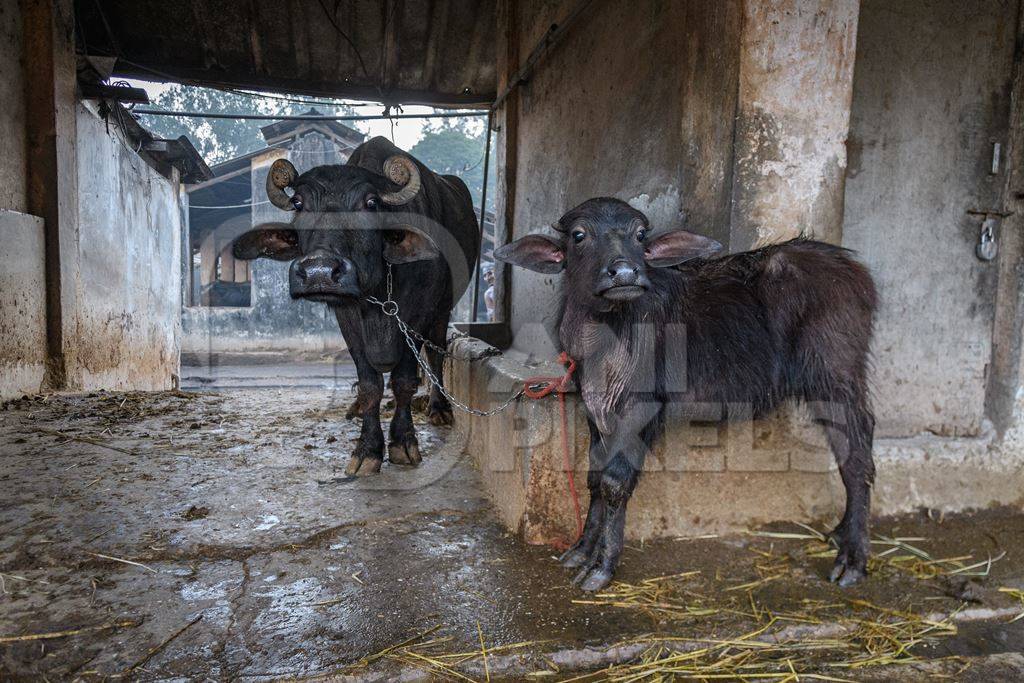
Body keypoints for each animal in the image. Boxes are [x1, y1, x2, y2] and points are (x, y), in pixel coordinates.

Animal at [232, 137, 479, 479]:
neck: (377, 292)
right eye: (298, 203)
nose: (319, 272)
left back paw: (438, 407)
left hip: (443, 309)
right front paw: (368, 449)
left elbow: (404, 380)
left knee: (436, 352)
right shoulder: (347, 318)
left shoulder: (418, 312)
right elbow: (370, 385)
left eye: (371, 203)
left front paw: (403, 443)